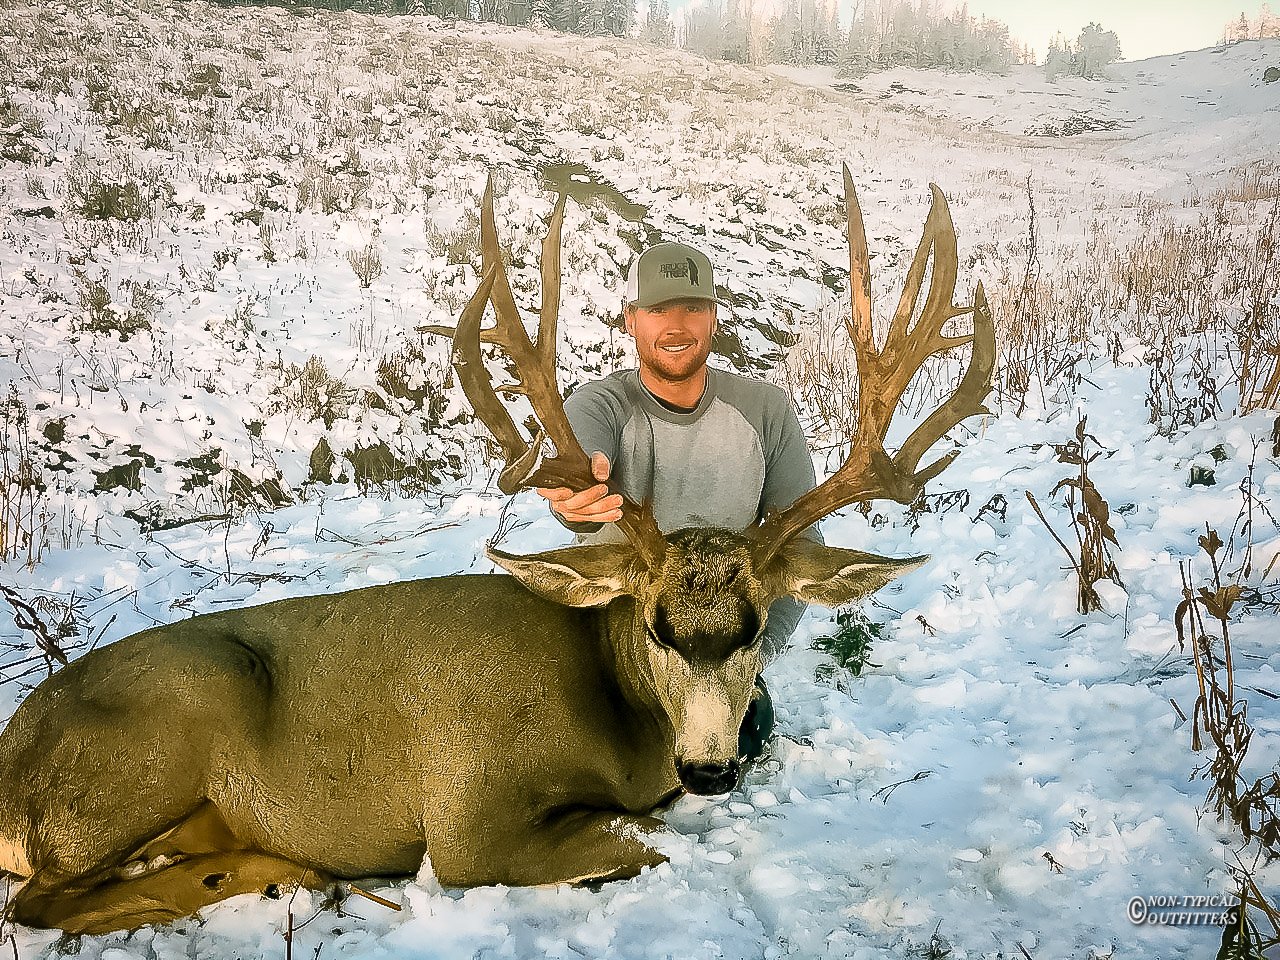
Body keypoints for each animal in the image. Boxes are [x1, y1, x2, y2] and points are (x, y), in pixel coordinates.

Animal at [0, 165, 993, 934]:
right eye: (658, 627)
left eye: (751, 627)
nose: (711, 769)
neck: (615, 709)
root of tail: (12, 762)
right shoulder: (471, 818)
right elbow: (643, 845)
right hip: (160, 732)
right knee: (40, 902)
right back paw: (267, 871)